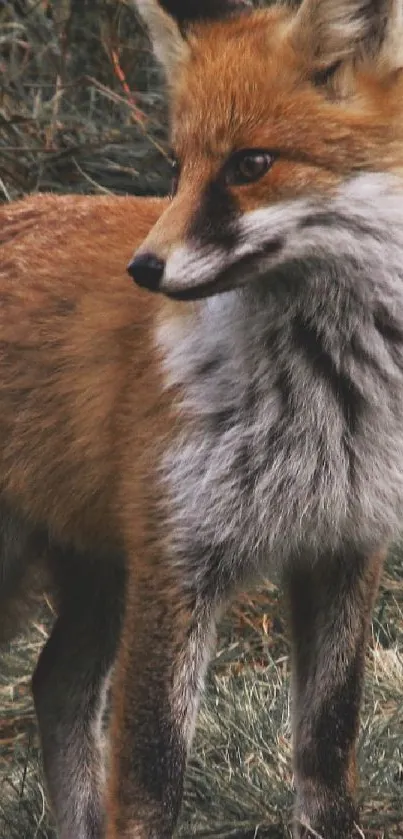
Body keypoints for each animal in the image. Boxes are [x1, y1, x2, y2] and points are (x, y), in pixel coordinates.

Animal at [0, 1, 403, 839]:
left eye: (250, 164)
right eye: (178, 167)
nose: (143, 268)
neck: (326, 393)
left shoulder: (345, 542)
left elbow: (327, 743)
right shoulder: (176, 556)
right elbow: (150, 776)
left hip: (99, 570)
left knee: (56, 683)